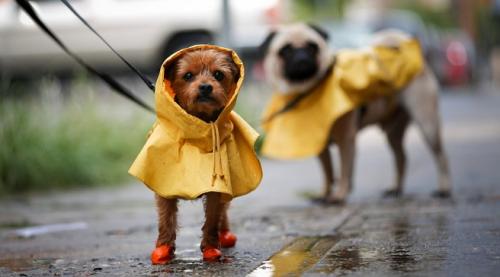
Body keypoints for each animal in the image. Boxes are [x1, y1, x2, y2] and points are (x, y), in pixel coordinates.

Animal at [153, 48, 241, 262]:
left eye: (218, 74)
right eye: (188, 76)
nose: (206, 87)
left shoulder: (216, 188)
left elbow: (212, 218)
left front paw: (210, 247)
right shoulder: (164, 184)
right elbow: (166, 218)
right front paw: (164, 247)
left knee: (223, 213)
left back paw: (225, 235)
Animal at [260, 23, 452, 203]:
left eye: (312, 47)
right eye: (285, 50)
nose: (301, 57)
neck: (308, 91)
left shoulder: (346, 139)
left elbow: (344, 170)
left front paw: (338, 196)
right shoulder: (320, 145)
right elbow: (328, 172)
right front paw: (324, 194)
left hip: (427, 123)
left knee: (441, 156)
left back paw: (443, 189)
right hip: (393, 132)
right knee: (402, 158)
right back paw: (396, 188)